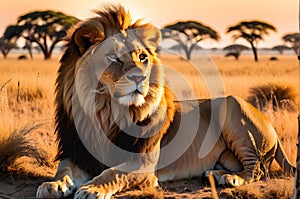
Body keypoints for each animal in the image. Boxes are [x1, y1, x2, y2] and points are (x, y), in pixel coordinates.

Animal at [35, 3, 296, 198]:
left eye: (142, 57)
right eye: (112, 56)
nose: (140, 77)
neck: (108, 113)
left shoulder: (144, 163)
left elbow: (113, 173)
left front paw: (92, 188)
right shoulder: (78, 153)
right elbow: (63, 169)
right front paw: (53, 185)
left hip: (232, 107)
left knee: (257, 169)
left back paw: (229, 178)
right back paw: (216, 174)